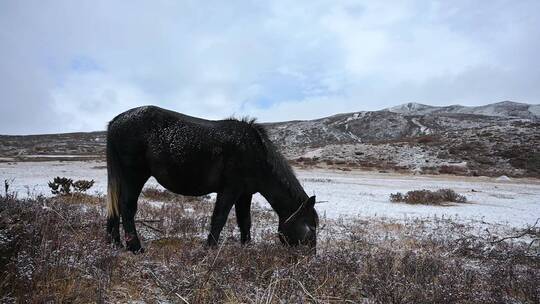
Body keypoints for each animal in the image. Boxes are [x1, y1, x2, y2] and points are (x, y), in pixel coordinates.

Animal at [105, 105, 316, 253]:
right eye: (310, 228)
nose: (309, 259)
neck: (256, 154)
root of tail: (116, 121)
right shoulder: (230, 189)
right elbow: (219, 218)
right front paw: (209, 249)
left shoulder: (244, 194)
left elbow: (245, 221)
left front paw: (246, 248)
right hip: (134, 175)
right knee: (127, 207)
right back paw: (135, 248)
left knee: (116, 206)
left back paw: (114, 243)